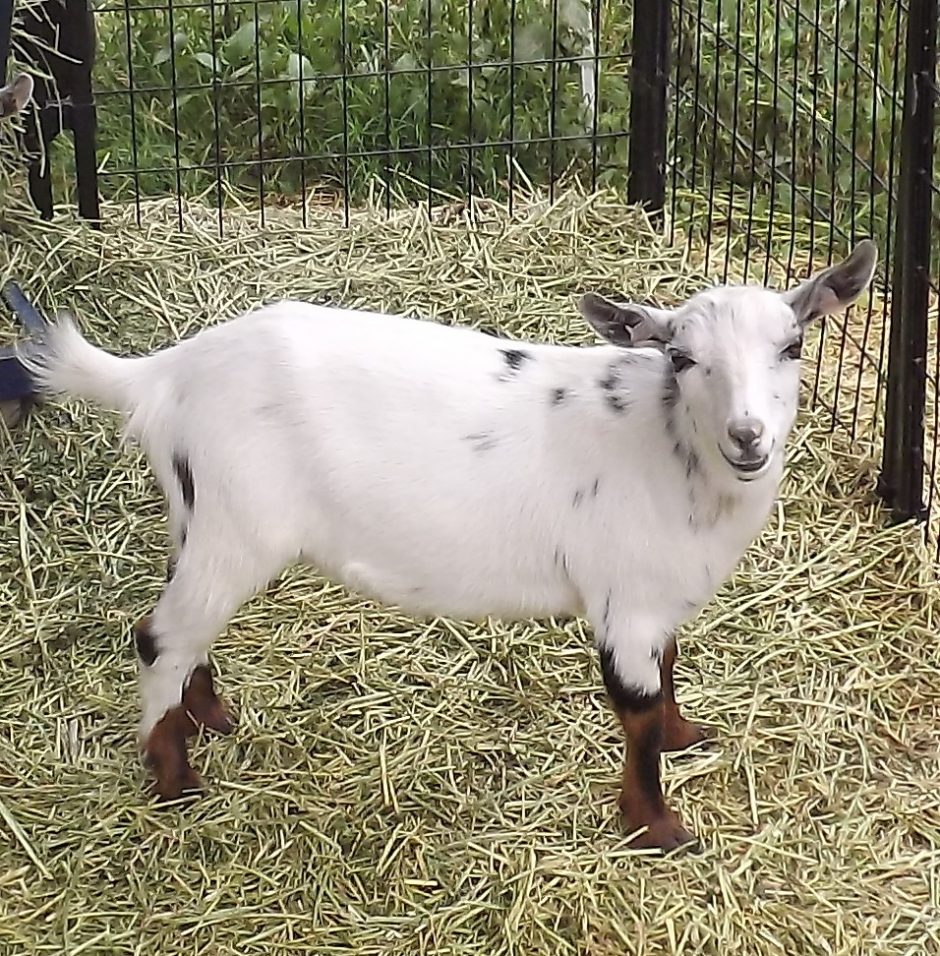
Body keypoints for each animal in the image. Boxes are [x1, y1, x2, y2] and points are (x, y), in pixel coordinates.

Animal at [22, 240, 877, 851]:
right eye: (681, 357)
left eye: (795, 346)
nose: (747, 435)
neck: (672, 453)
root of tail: (163, 374)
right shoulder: (624, 597)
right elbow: (634, 708)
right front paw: (656, 828)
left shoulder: (657, 596)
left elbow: (668, 675)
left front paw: (686, 736)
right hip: (239, 520)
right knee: (158, 635)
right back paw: (174, 781)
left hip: (196, 513)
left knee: (183, 622)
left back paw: (207, 717)